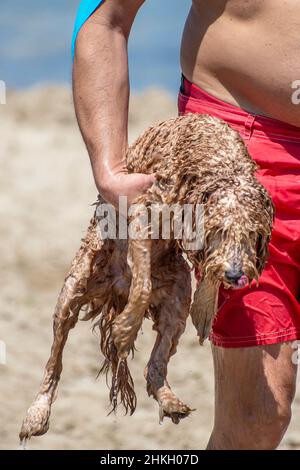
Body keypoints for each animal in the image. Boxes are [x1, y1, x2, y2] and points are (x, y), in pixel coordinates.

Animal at [19, 114, 274, 444]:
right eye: (218, 231)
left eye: (252, 235)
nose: (234, 275)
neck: (217, 160)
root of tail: (116, 291)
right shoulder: (143, 211)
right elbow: (142, 287)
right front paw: (125, 331)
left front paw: (205, 308)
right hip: (74, 289)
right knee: (55, 360)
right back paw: (37, 414)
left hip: (177, 296)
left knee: (155, 366)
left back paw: (169, 399)